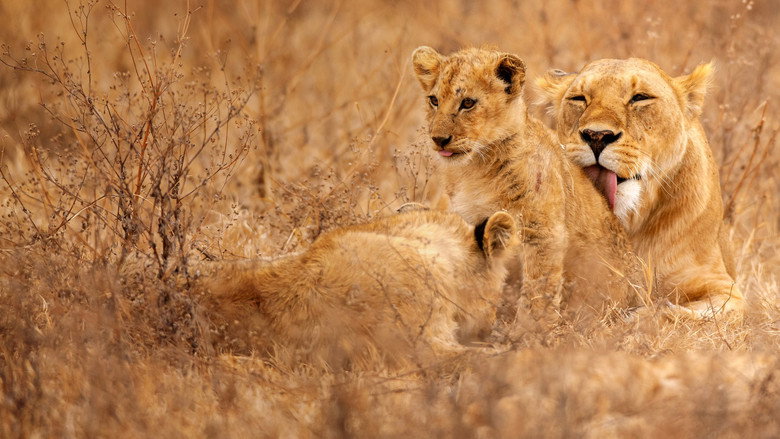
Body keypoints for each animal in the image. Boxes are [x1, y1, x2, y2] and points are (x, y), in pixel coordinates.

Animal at [411, 47, 640, 323]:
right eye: (434, 100)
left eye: (468, 103)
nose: (439, 139)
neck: (475, 168)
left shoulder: (543, 231)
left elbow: (537, 291)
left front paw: (528, 332)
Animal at [536, 58, 744, 318]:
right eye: (578, 98)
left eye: (640, 98)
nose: (597, 135)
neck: (630, 220)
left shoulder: (722, 286)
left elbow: (685, 315)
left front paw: (638, 316)